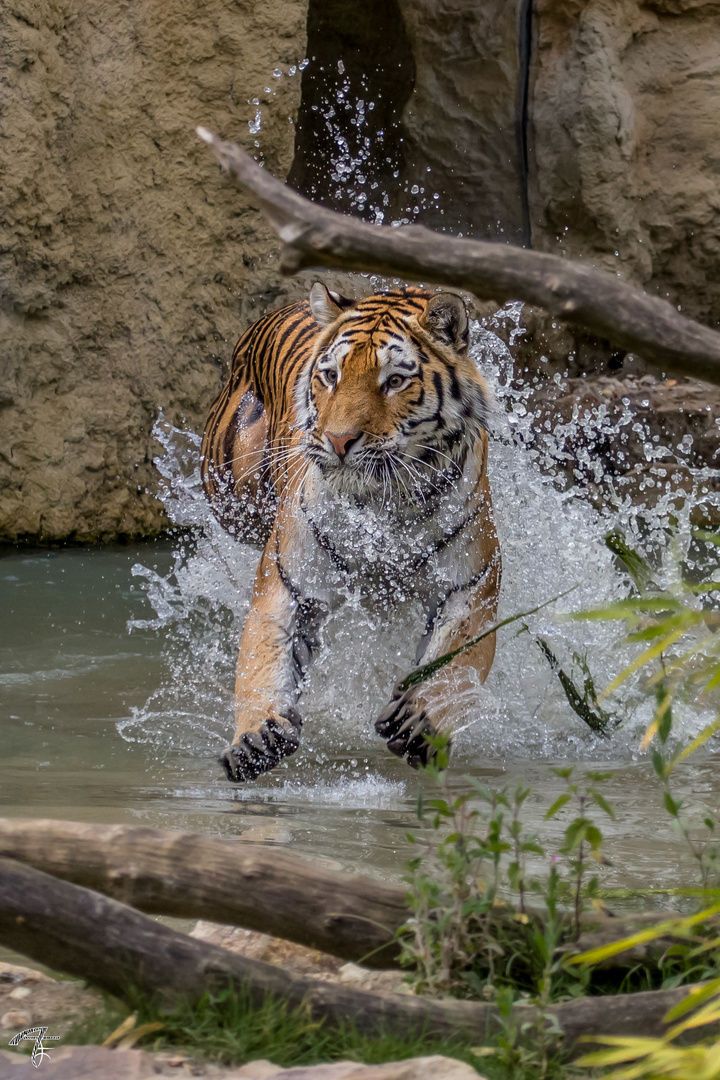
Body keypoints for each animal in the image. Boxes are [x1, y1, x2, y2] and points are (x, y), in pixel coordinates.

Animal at [199, 282, 498, 781]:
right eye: (331, 376)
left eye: (394, 381)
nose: (338, 441)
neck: (386, 504)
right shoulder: (290, 582)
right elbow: (262, 659)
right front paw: (256, 736)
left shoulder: (470, 586)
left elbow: (456, 664)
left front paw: (420, 723)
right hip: (228, 490)